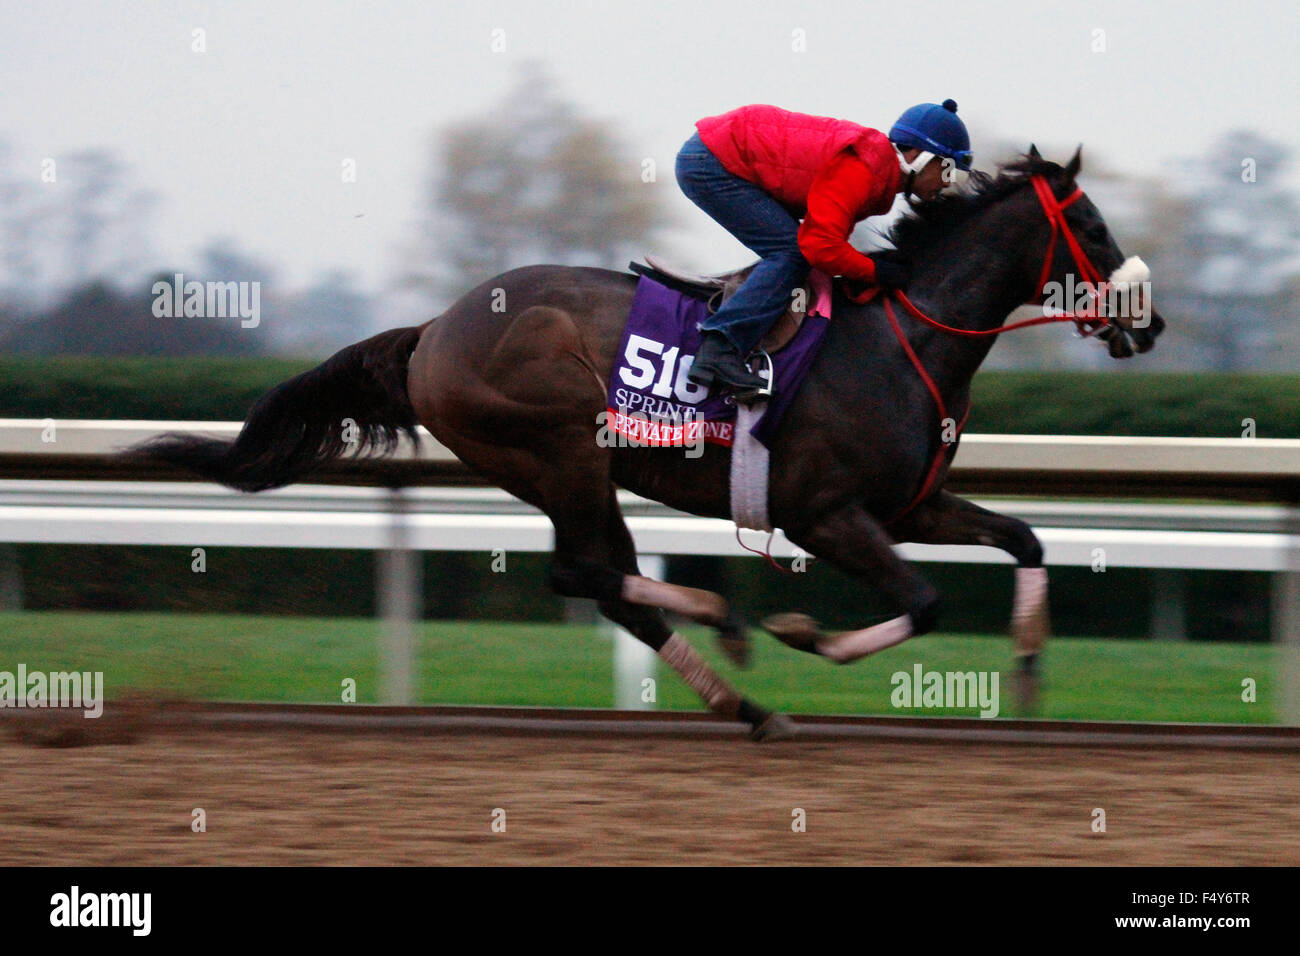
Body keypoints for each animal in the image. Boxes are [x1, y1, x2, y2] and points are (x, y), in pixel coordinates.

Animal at [131, 149, 1170, 743]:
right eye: (1089, 223)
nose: (1151, 323)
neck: (901, 338)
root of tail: (431, 330)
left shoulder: (909, 503)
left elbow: (1025, 538)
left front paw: (1029, 668)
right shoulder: (825, 513)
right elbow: (921, 600)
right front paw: (805, 631)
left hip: (576, 476)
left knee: (609, 586)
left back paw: (743, 701)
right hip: (562, 447)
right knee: (581, 575)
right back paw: (729, 621)